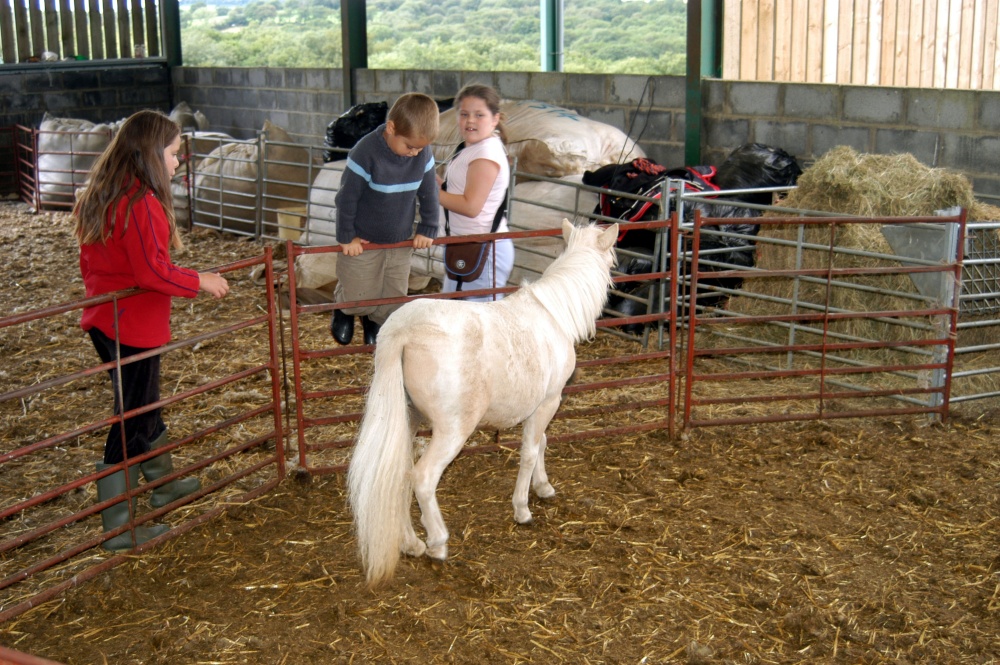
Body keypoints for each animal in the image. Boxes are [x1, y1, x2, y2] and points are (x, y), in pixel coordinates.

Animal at [348, 220, 620, 584]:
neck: (553, 313)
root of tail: (404, 332)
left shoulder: (540, 406)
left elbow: (542, 443)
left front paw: (544, 487)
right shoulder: (549, 401)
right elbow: (530, 452)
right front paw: (522, 508)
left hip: (408, 418)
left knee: (399, 474)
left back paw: (411, 543)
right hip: (452, 431)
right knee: (422, 478)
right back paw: (437, 543)